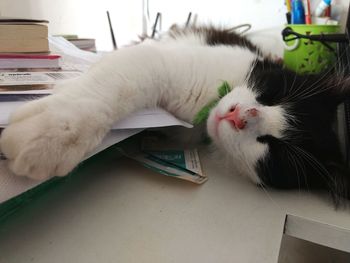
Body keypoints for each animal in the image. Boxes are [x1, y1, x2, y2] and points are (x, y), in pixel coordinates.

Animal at [0, 25, 350, 205]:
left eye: (274, 148)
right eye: (273, 93)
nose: (238, 116)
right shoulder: (162, 59)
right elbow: (122, 82)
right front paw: (55, 132)